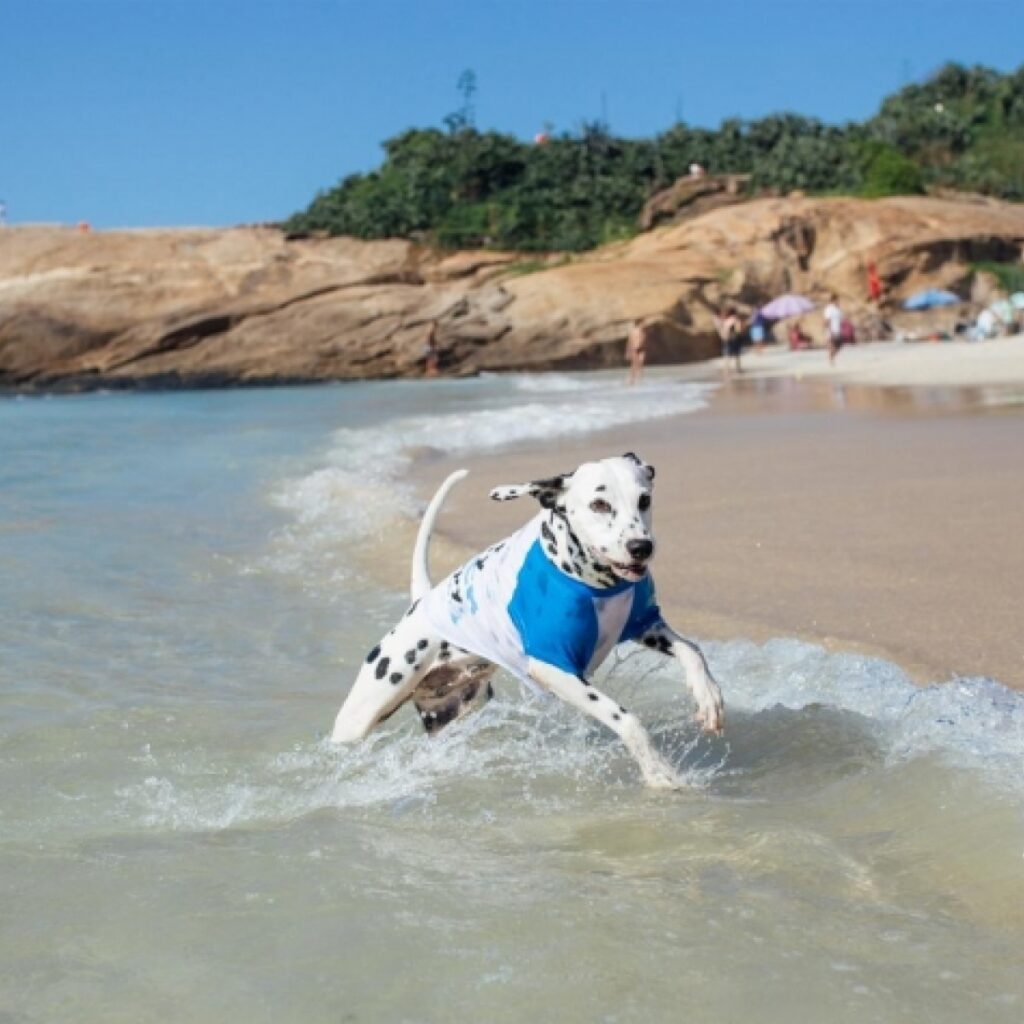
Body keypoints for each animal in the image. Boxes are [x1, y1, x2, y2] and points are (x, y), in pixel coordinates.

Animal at [331, 452, 724, 786]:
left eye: (643, 499)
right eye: (599, 504)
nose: (641, 547)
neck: (589, 580)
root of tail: (421, 602)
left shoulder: (644, 625)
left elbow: (692, 650)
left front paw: (708, 697)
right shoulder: (552, 667)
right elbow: (626, 719)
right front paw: (658, 772)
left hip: (456, 710)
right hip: (364, 710)